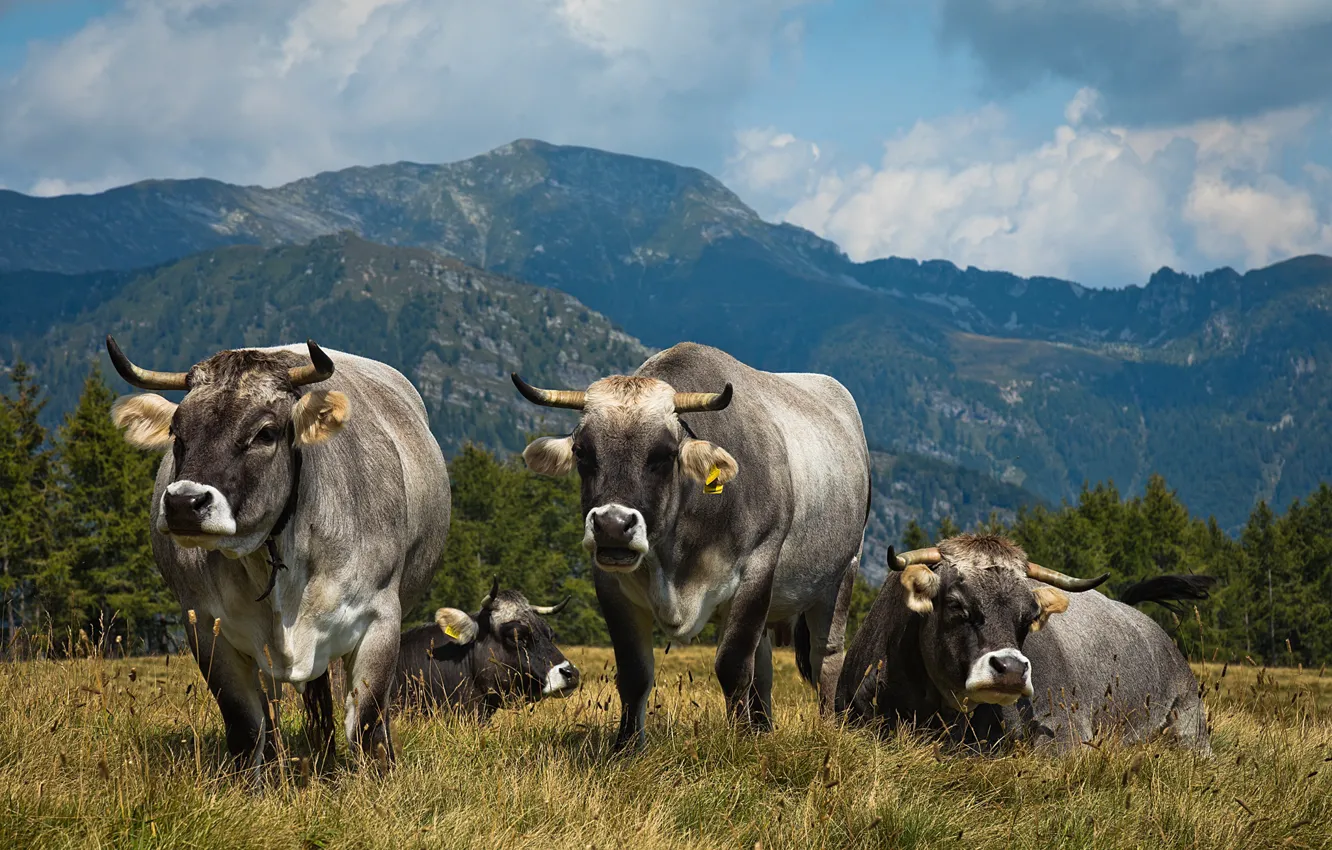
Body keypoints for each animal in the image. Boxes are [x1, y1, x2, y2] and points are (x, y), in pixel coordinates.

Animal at [105, 336, 450, 772]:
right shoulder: (205, 627)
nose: (184, 503)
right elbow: (246, 727)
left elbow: (368, 724)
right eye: (176, 432)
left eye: (266, 433)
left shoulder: (381, 618)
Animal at [512, 341, 871, 748]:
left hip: (842, 572)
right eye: (582, 452)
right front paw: (627, 747)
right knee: (764, 664)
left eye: (665, 455)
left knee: (825, 654)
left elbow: (733, 665)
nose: (613, 526)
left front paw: (738, 741)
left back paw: (830, 726)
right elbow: (634, 673)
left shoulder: (757, 569)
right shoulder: (609, 584)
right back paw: (763, 730)